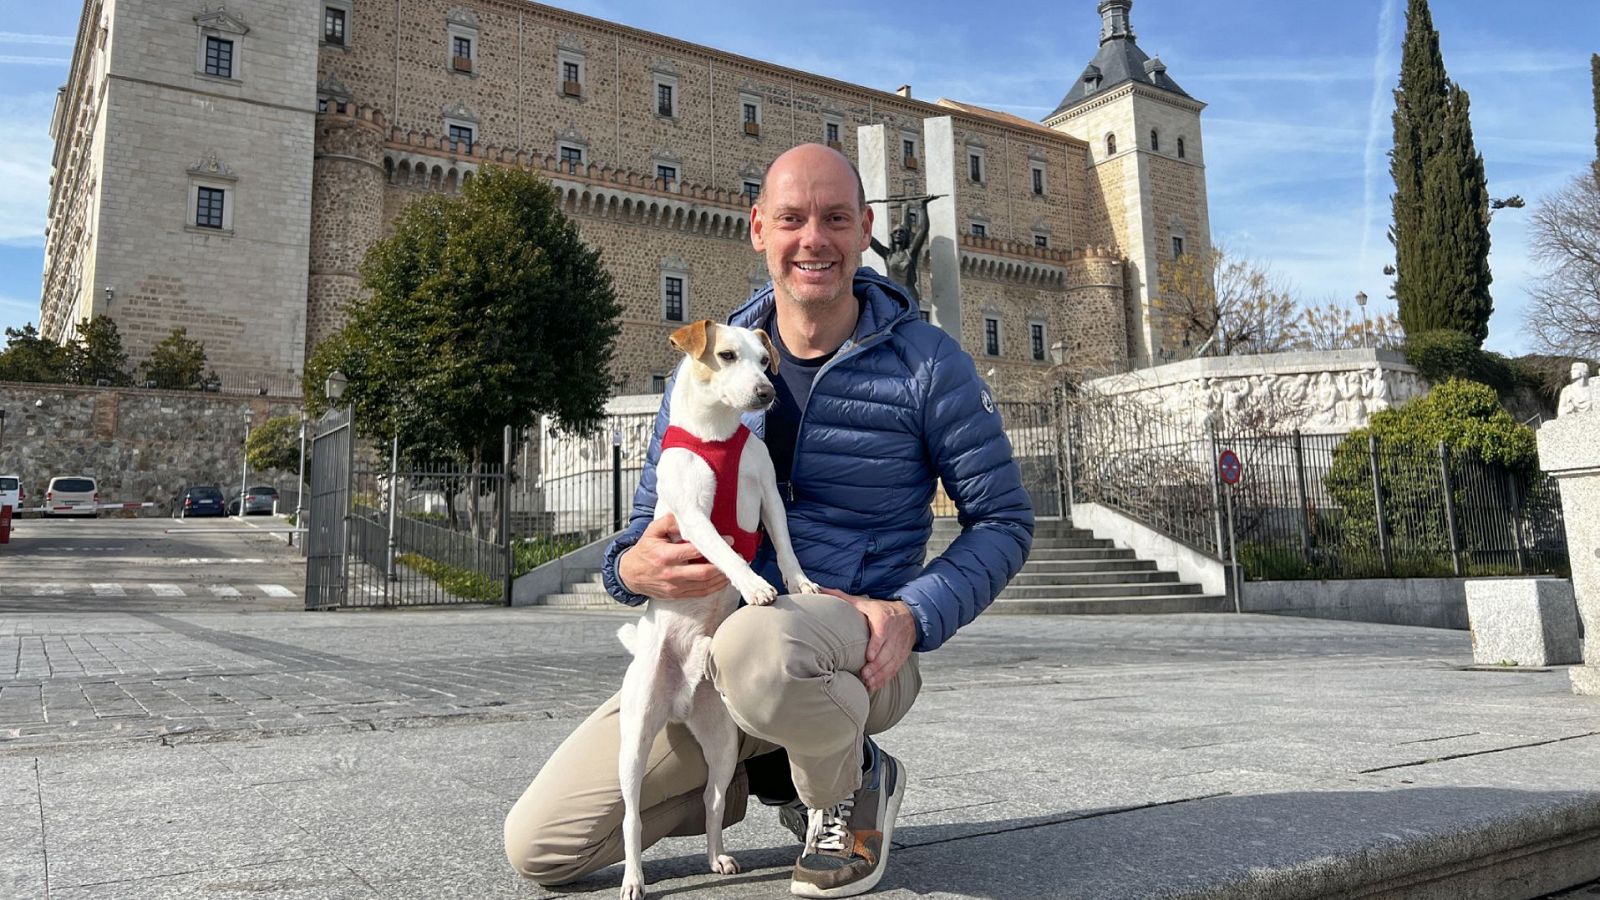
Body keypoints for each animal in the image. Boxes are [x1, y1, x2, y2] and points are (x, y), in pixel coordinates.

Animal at [614, 318, 825, 896]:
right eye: (727, 355)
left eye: (765, 360)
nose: (767, 392)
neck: (717, 436)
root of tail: (680, 702)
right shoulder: (691, 518)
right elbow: (727, 552)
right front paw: (753, 586)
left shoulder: (769, 495)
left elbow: (785, 545)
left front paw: (799, 583)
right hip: (634, 742)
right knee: (631, 817)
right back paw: (634, 878)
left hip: (723, 743)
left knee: (711, 799)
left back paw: (717, 857)